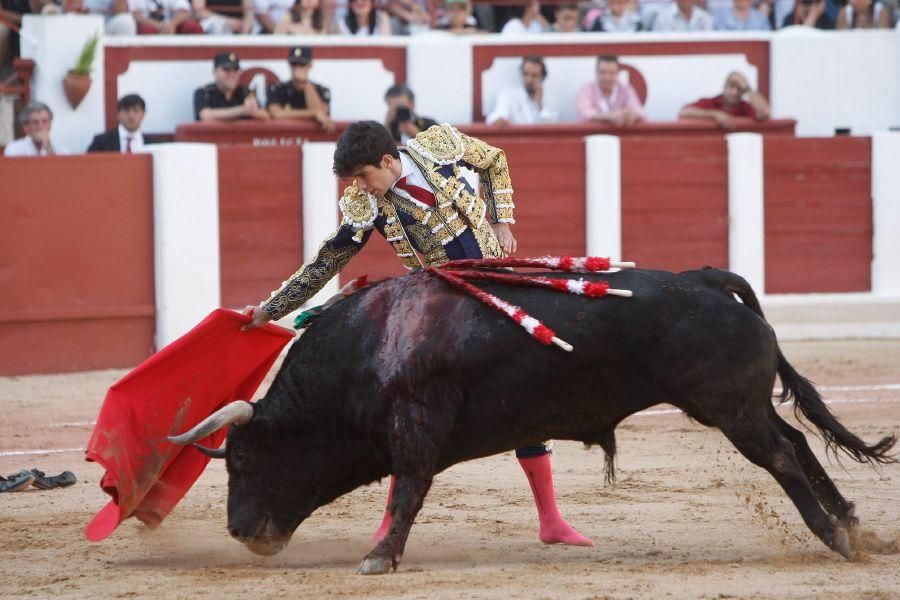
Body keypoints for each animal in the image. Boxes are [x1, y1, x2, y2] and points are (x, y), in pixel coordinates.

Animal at [167, 268, 892, 576]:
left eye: (244, 459)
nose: (240, 530)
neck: (370, 347)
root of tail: (712, 280)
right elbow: (407, 488)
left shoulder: (419, 421)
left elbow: (408, 489)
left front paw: (379, 557)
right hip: (745, 405)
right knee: (796, 441)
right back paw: (853, 522)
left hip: (730, 408)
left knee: (782, 457)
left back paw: (835, 535)